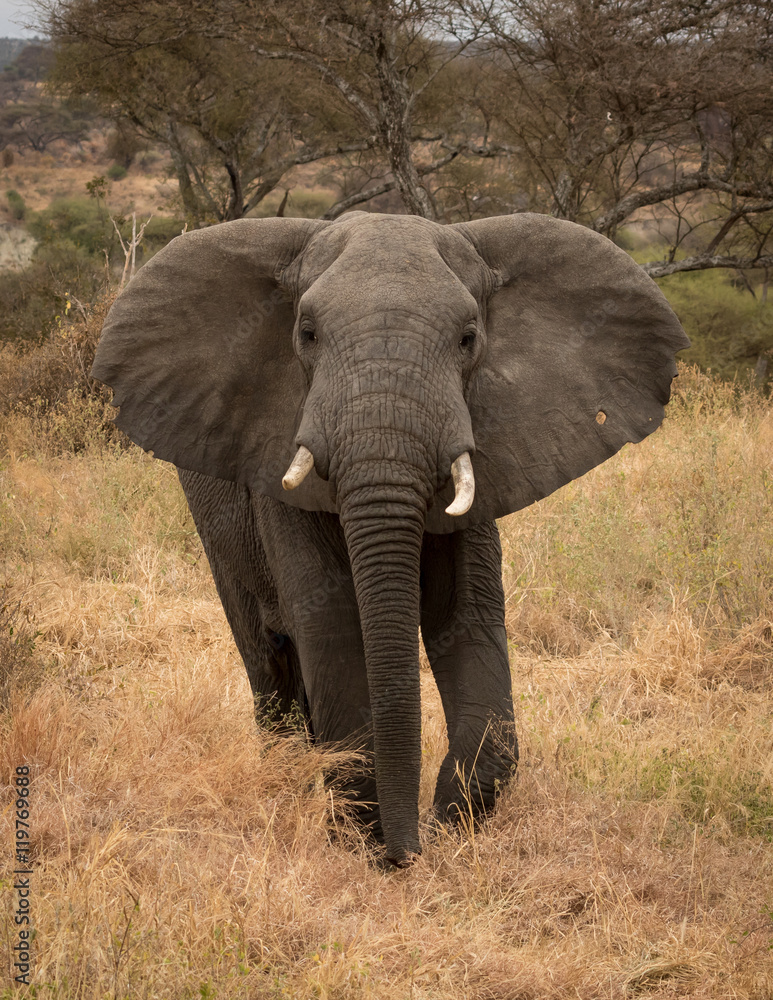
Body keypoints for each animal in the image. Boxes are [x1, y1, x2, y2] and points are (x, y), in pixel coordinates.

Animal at [91, 210, 689, 866]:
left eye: (468, 338)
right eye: (306, 333)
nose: (407, 854)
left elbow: (466, 618)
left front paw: (448, 822)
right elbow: (331, 622)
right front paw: (362, 835)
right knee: (267, 658)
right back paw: (284, 783)